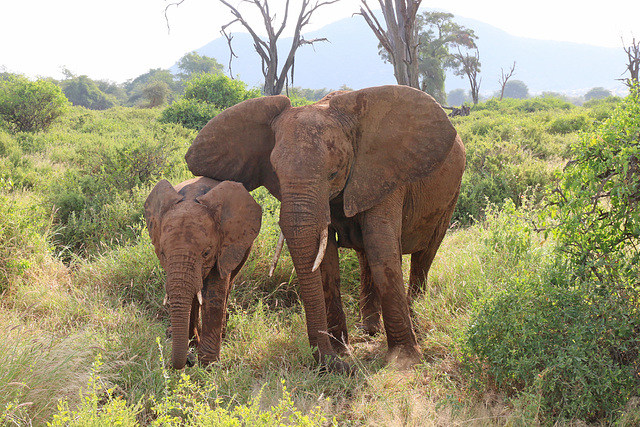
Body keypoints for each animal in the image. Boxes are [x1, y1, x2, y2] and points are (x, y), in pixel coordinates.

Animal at [145, 176, 262, 370]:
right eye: (163, 253)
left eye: (206, 253)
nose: (188, 361)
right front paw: (196, 353)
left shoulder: (224, 246)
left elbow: (213, 294)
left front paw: (208, 365)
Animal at [185, 86, 464, 372]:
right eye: (275, 173)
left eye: (333, 174)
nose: (342, 366)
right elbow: (326, 262)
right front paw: (341, 351)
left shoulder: (385, 174)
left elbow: (382, 250)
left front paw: (404, 361)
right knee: (367, 256)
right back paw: (369, 330)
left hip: (450, 195)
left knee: (423, 254)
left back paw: (413, 321)